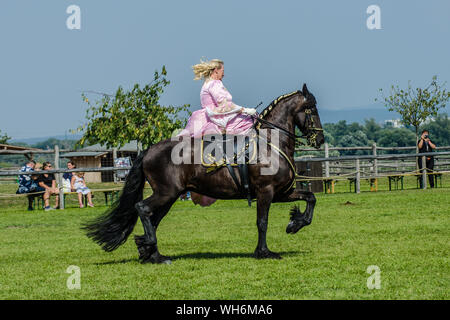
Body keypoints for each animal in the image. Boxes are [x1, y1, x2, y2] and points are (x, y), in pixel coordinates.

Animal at [83, 84, 324, 264]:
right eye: (311, 109)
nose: (320, 140)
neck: (269, 144)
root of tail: (149, 150)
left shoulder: (281, 192)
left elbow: (310, 198)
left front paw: (295, 224)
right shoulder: (265, 192)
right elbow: (262, 222)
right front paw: (264, 252)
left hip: (169, 196)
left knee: (152, 217)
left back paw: (154, 254)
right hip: (166, 193)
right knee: (142, 208)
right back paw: (149, 247)